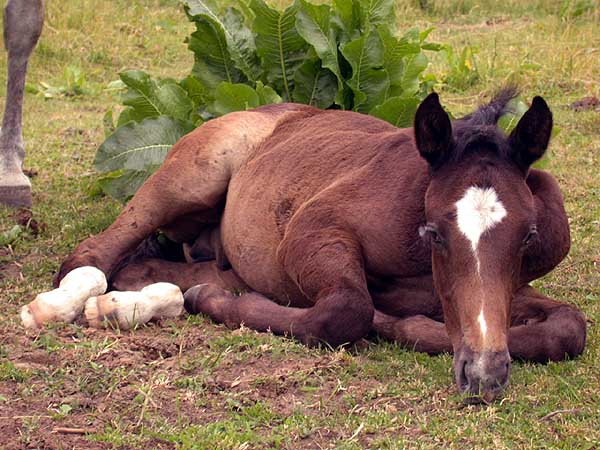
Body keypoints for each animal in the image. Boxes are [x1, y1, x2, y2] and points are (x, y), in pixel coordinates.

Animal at [56, 89, 584, 402]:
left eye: (529, 236)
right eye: (434, 232)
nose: (484, 376)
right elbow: (346, 310)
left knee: (174, 264)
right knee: (92, 254)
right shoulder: (311, 231)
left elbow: (569, 327)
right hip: (194, 175)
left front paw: (408, 324)